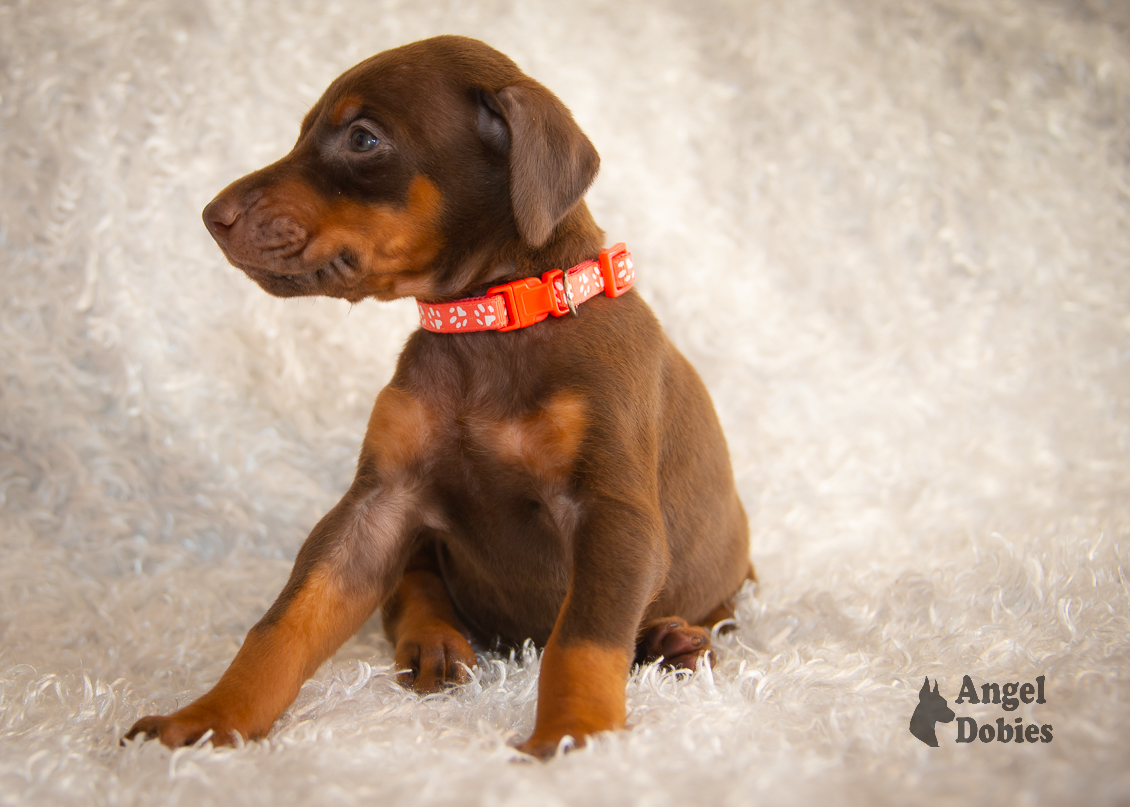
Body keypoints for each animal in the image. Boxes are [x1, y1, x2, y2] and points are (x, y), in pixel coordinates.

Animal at [125, 36, 750, 755]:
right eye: (302, 131)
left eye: (363, 138)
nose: (212, 217)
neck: (490, 324)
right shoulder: (378, 503)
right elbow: (285, 623)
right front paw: (206, 720)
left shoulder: (613, 513)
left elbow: (584, 640)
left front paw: (573, 735)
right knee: (415, 587)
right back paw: (436, 643)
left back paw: (675, 638)